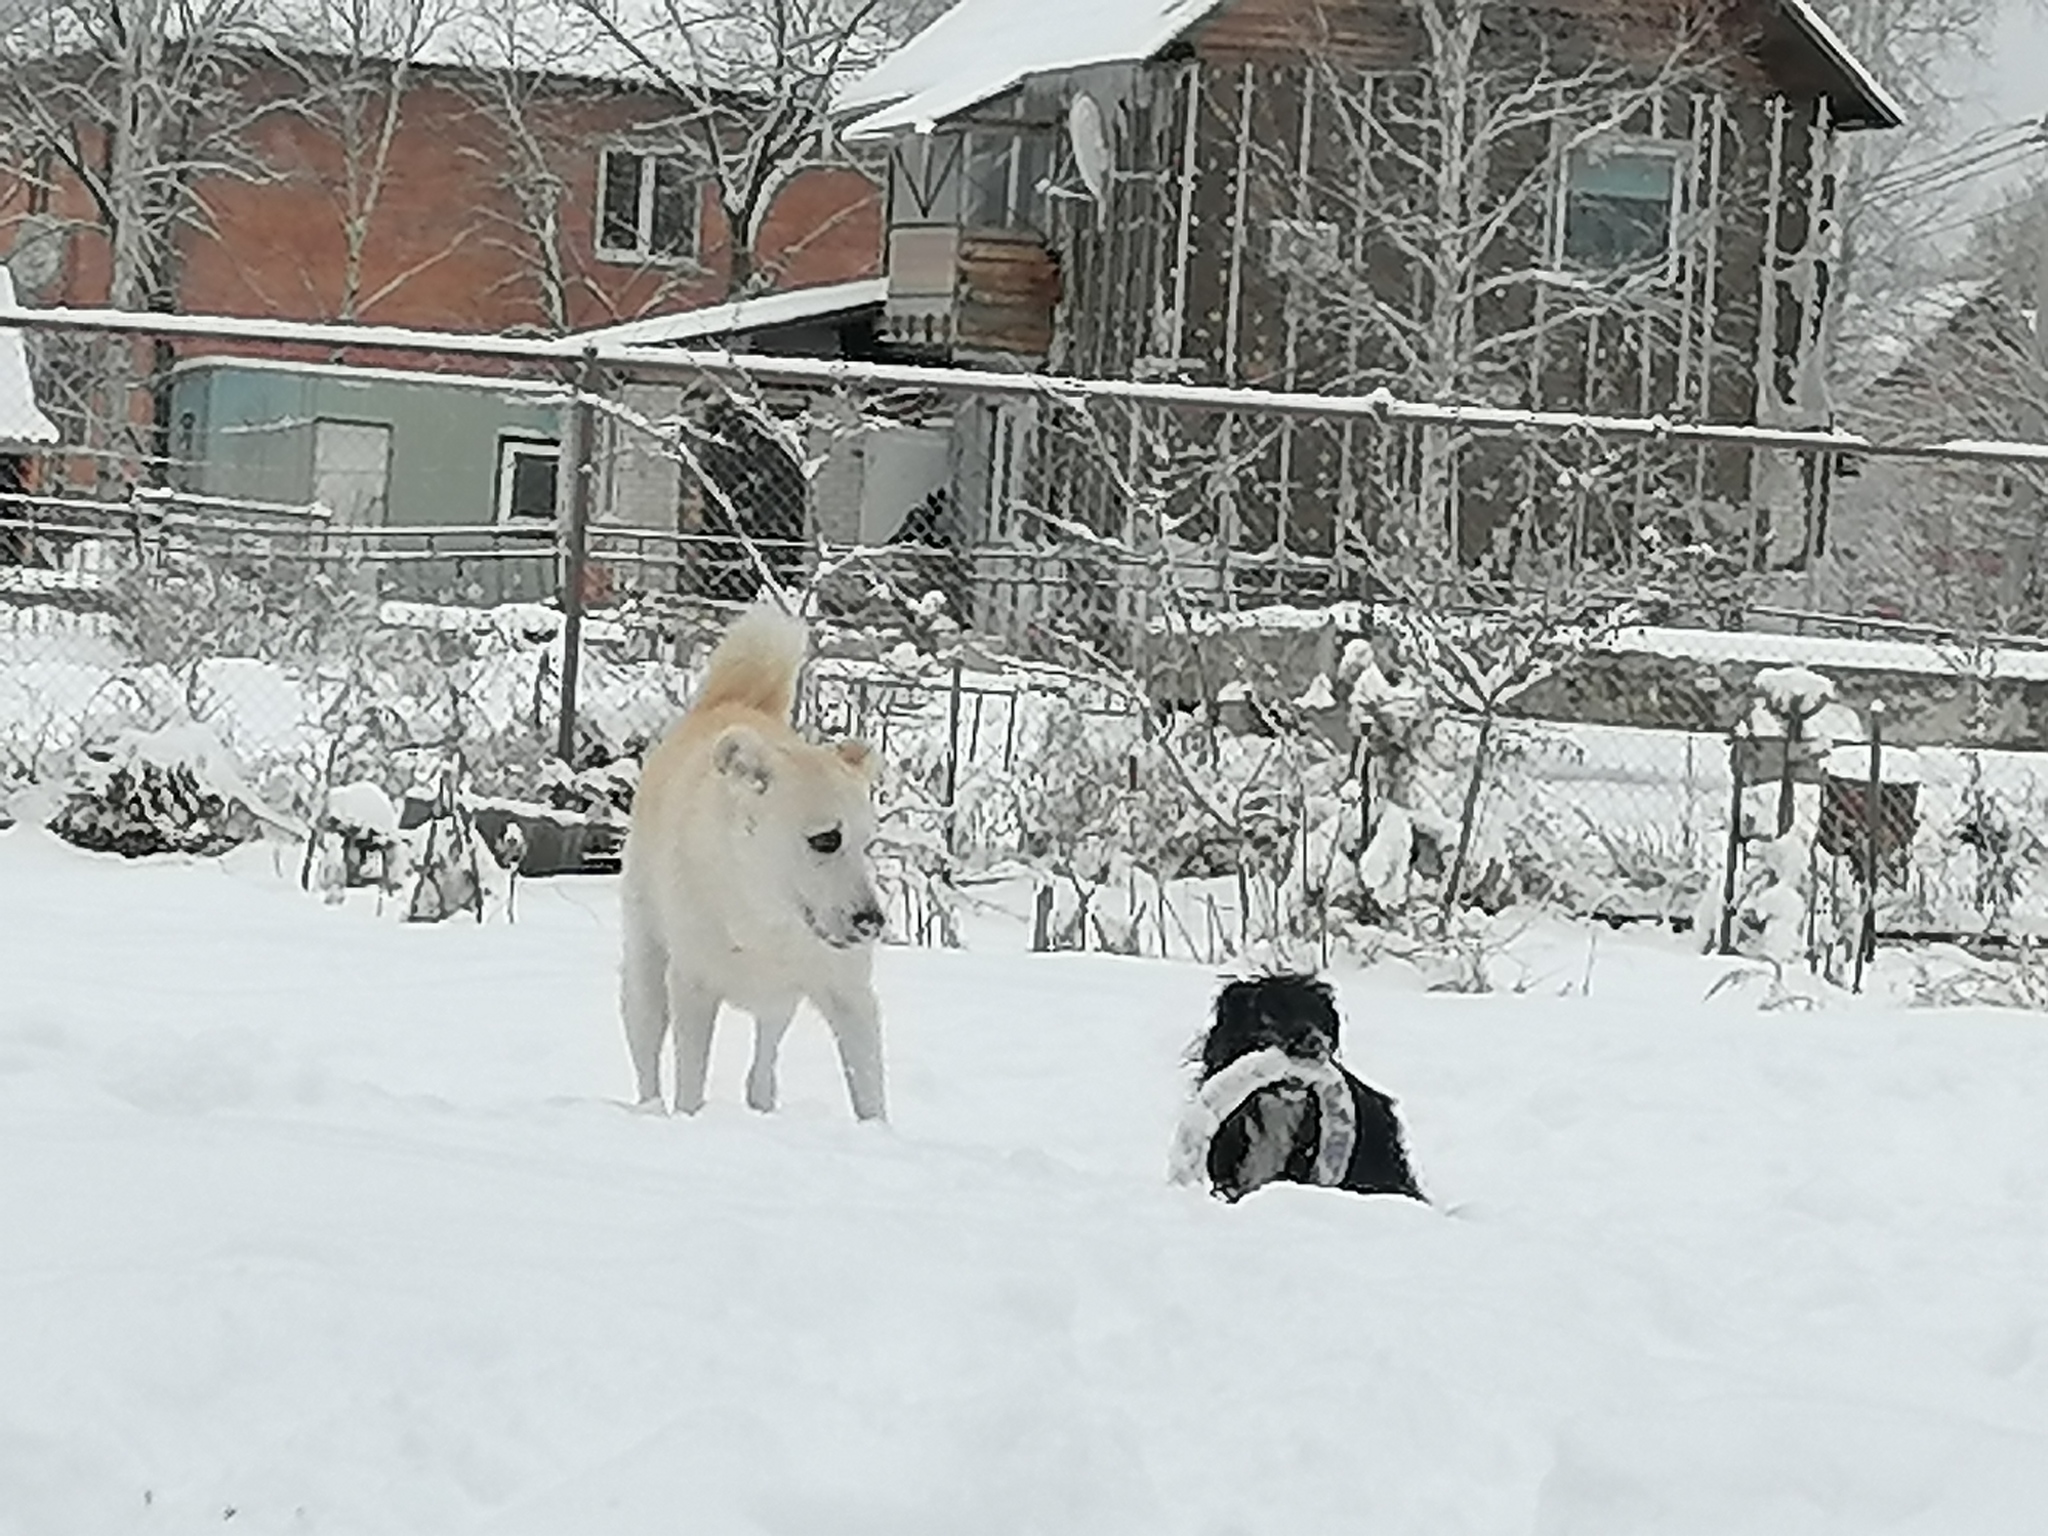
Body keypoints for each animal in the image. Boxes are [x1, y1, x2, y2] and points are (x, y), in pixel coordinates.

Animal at [614, 606, 888, 1122]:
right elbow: (689, 1087)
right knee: (646, 1054)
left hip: (779, 1002)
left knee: (764, 1058)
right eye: (826, 840)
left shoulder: (851, 996)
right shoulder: (693, 988)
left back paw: (761, 1104)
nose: (872, 922)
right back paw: (649, 1109)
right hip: (645, 971)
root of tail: (732, 703)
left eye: (869, 844)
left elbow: (870, 1092)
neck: (764, 915)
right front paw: (685, 1120)